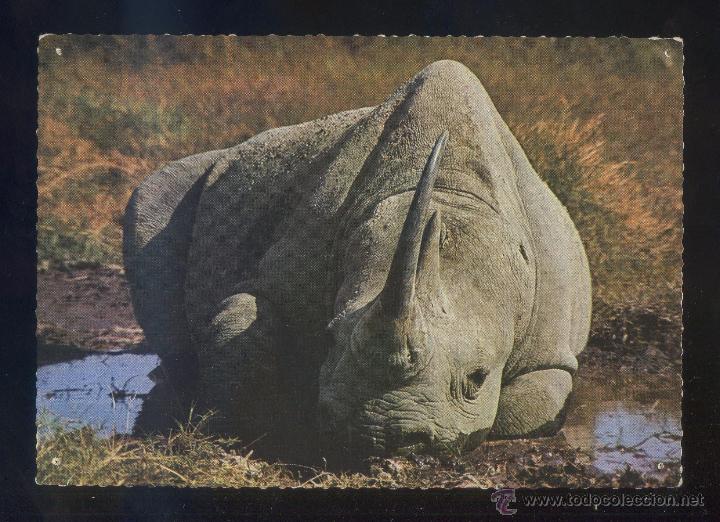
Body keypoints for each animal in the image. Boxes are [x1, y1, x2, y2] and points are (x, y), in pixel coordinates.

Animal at [124, 60, 591, 459]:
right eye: (330, 338)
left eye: (478, 377)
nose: (383, 435)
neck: (452, 190)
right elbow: (239, 325)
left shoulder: (550, 338)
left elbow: (531, 401)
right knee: (152, 208)